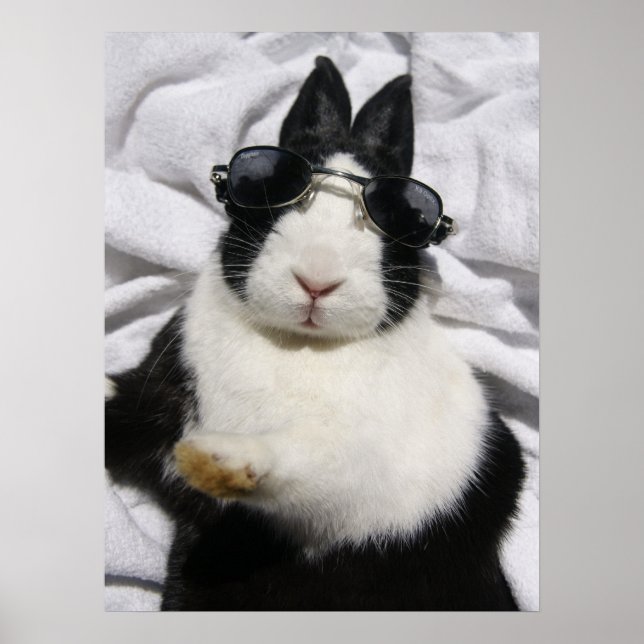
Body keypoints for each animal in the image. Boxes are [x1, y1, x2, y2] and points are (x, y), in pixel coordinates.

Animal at [105, 56, 525, 611]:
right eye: (265, 190)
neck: (297, 344)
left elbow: (311, 463)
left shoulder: (362, 463)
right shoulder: (157, 397)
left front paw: (216, 459)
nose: (317, 280)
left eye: (404, 219)